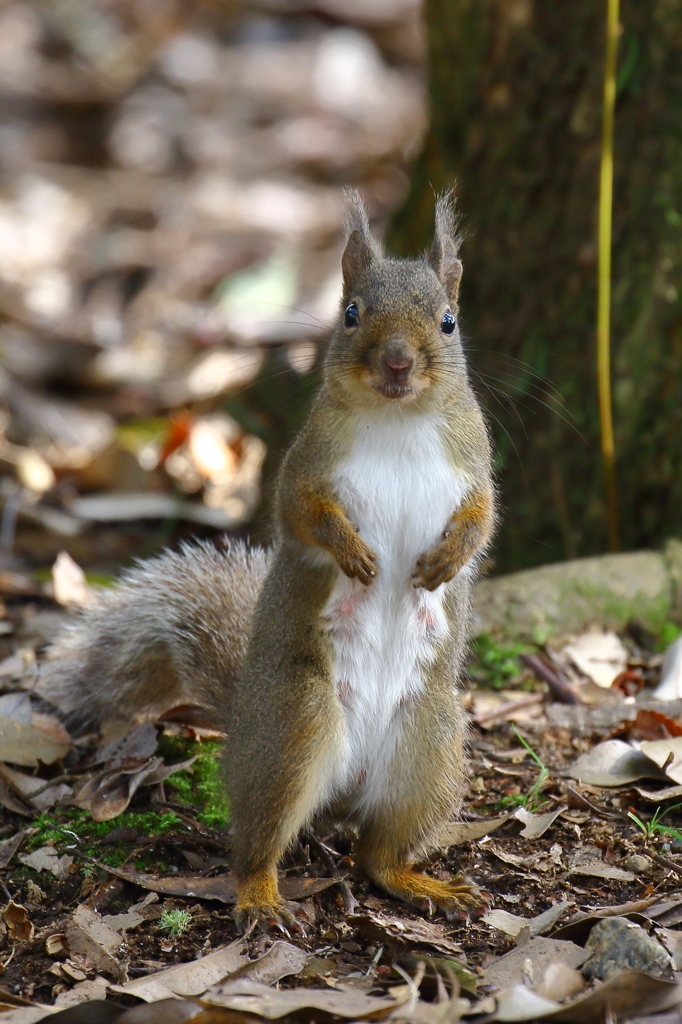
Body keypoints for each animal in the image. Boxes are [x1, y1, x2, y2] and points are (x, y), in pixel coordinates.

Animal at [39, 192, 491, 929]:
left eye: (448, 321)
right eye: (351, 313)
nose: (397, 362)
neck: (398, 422)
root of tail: (343, 788)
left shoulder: (474, 466)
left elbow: (482, 521)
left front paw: (445, 563)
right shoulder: (303, 469)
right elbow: (303, 516)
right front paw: (355, 555)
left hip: (430, 744)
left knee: (376, 854)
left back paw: (417, 882)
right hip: (293, 727)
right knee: (256, 842)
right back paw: (262, 896)